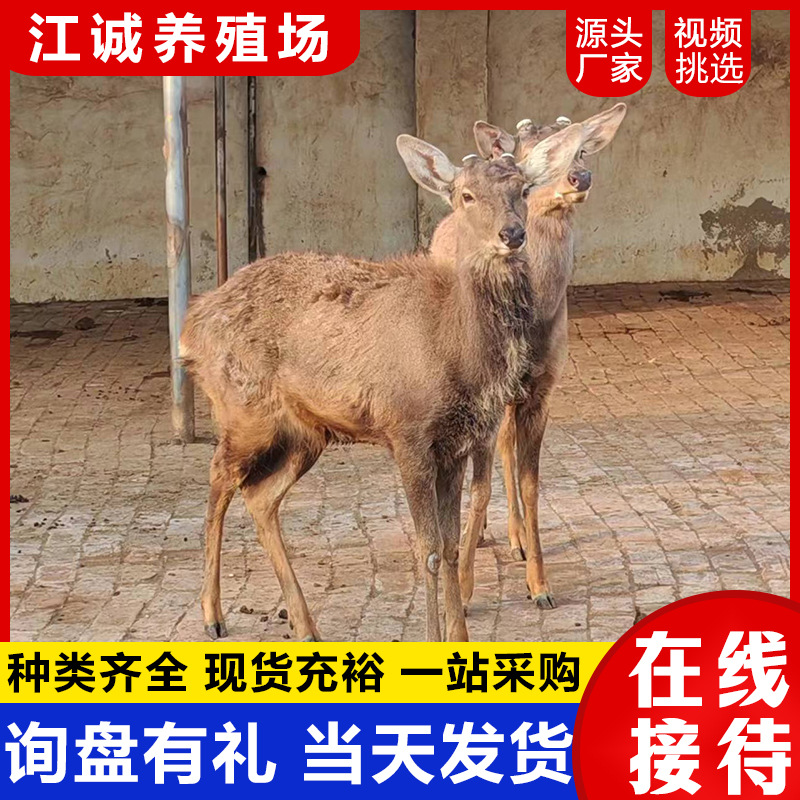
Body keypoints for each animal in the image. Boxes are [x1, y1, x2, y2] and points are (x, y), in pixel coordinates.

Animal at [181, 134, 557, 643]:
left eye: (523, 188)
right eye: (466, 195)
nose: (512, 234)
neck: (457, 350)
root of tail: (193, 324)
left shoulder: (455, 444)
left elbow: (452, 544)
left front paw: (459, 639)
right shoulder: (408, 432)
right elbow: (429, 548)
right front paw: (434, 639)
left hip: (307, 432)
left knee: (260, 497)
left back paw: (306, 625)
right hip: (243, 411)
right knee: (219, 477)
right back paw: (212, 612)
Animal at [428, 104, 627, 611]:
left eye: (581, 149)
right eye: (530, 155)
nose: (580, 177)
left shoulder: (542, 389)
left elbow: (532, 481)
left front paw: (540, 586)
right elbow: (478, 489)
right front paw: (465, 587)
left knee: (506, 447)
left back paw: (515, 538)